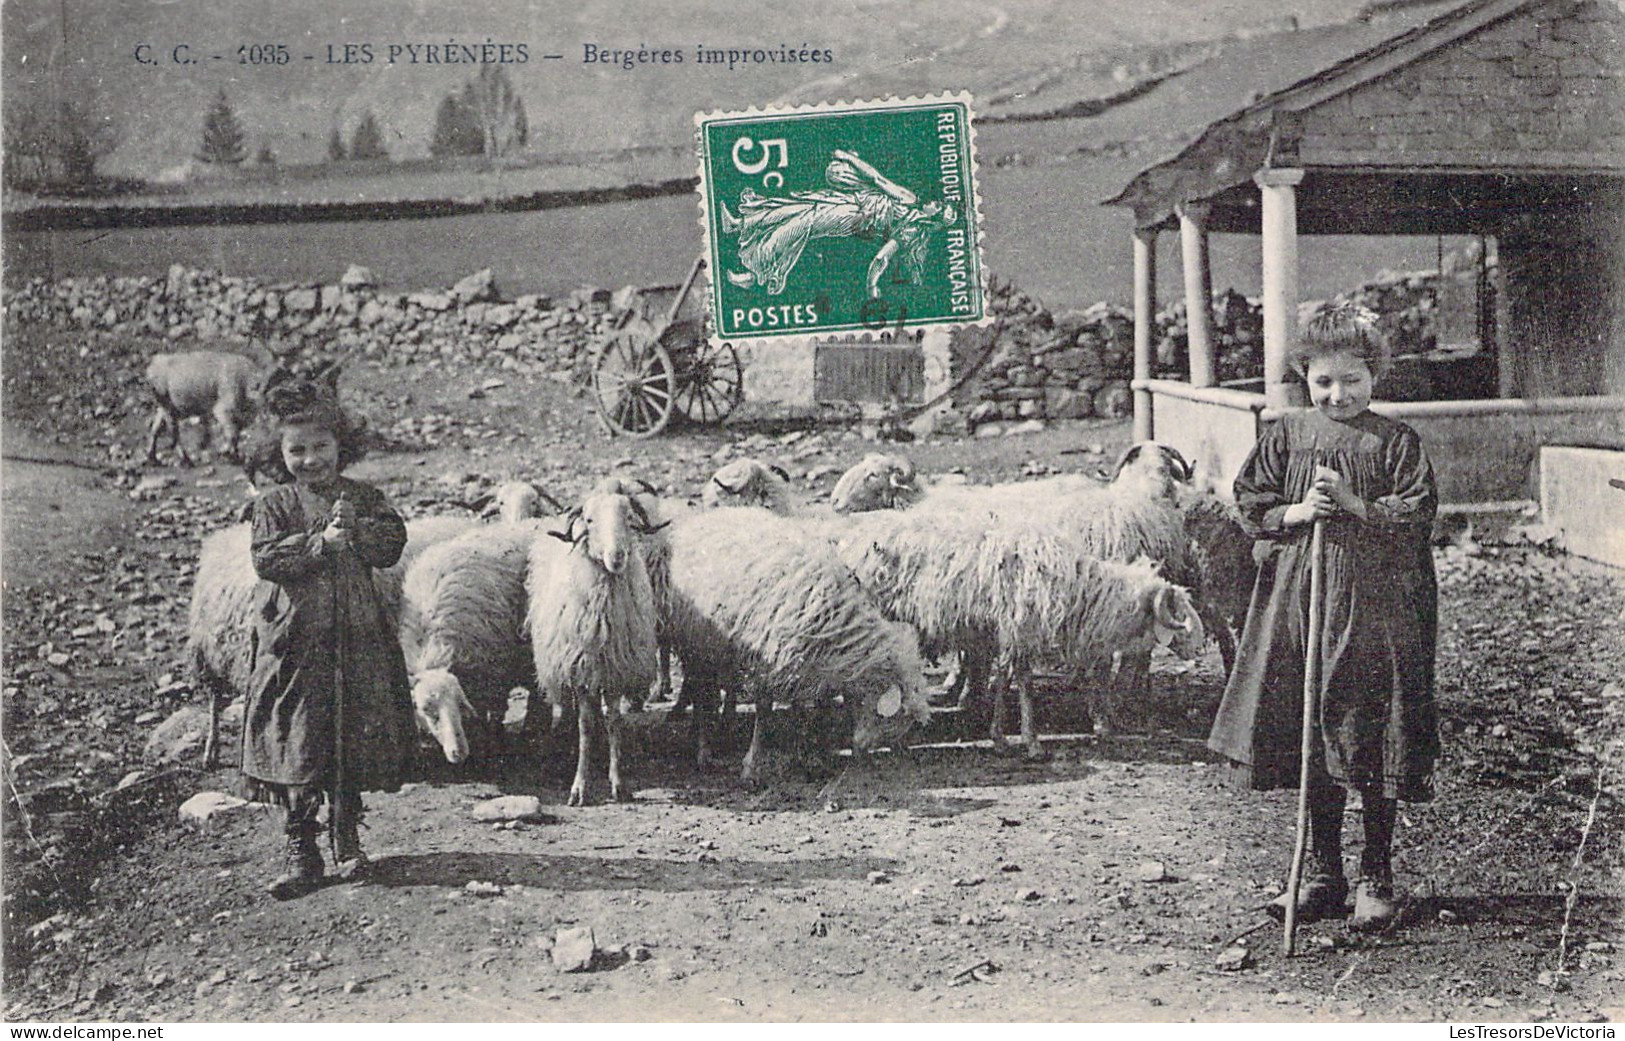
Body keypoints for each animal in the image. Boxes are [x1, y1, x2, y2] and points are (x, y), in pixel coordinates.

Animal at [526, 483, 666, 805]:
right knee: (569, 710)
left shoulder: (614, 670)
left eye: (628, 518)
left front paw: (618, 782)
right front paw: (579, 785)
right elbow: (586, 727)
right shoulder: (580, 670)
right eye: (589, 520)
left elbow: (614, 722)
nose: (617, 557)